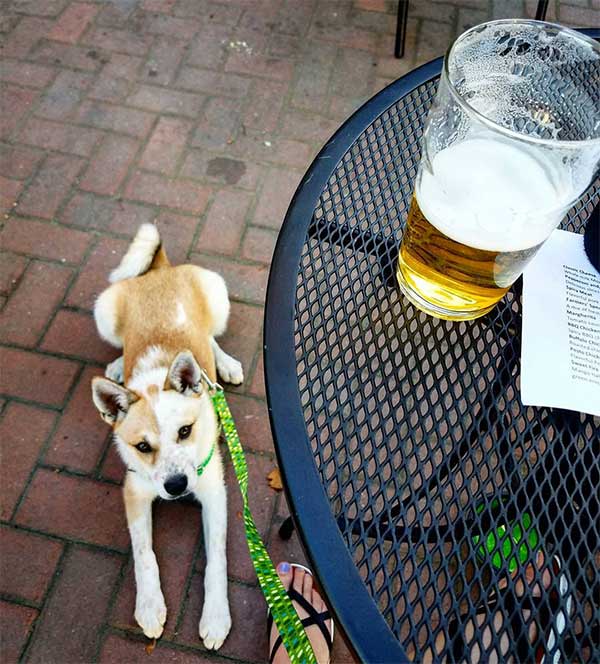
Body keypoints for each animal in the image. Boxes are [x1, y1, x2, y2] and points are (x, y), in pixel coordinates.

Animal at [91, 226, 241, 652]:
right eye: (142, 447)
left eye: (186, 431)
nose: (176, 486)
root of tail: (160, 270)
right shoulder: (135, 491)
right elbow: (144, 554)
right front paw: (150, 607)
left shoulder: (214, 491)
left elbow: (217, 560)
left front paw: (216, 617)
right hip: (103, 311)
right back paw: (114, 369)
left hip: (219, 295)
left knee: (211, 339)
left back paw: (225, 364)